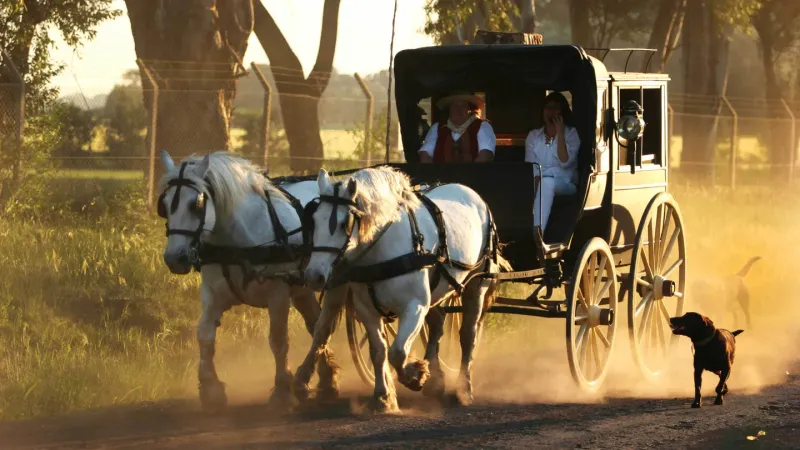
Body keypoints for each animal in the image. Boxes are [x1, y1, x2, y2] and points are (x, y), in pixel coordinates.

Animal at [158, 150, 342, 412]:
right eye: (163, 205)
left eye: (196, 204)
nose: (175, 258)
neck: (238, 242)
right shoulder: (213, 293)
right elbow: (204, 335)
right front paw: (211, 390)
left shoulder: (278, 293)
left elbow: (278, 339)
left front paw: (282, 391)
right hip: (303, 288)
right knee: (317, 324)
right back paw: (327, 380)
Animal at [296, 165, 510, 412]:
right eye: (314, 220)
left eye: (344, 223)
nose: (314, 275)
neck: (381, 250)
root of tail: (472, 194)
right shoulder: (366, 308)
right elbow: (379, 350)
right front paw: (383, 396)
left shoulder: (415, 306)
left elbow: (397, 352)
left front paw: (414, 375)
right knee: (436, 324)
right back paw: (436, 381)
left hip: (478, 285)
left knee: (468, 336)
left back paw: (463, 389)